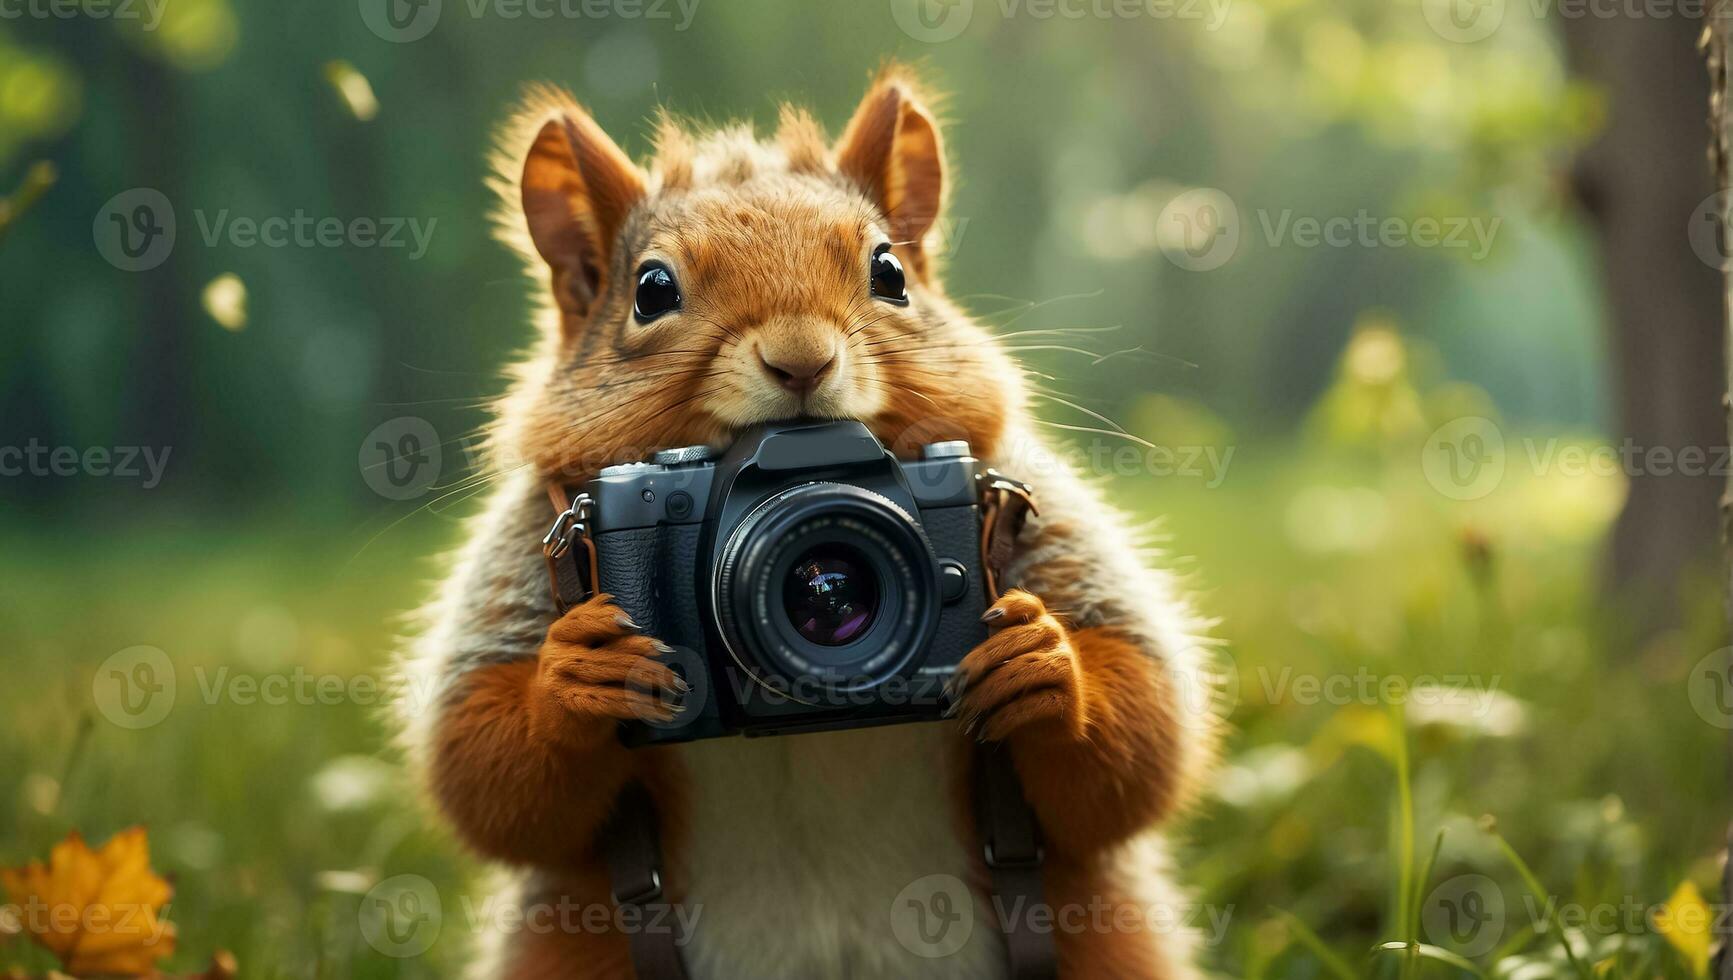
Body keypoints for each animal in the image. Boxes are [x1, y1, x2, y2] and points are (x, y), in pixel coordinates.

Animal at [402, 62, 1220, 978]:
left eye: (889, 270)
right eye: (651, 291)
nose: (801, 358)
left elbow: (1142, 731)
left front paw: (1043, 667)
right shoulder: (522, 556)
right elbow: (482, 766)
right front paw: (575, 677)